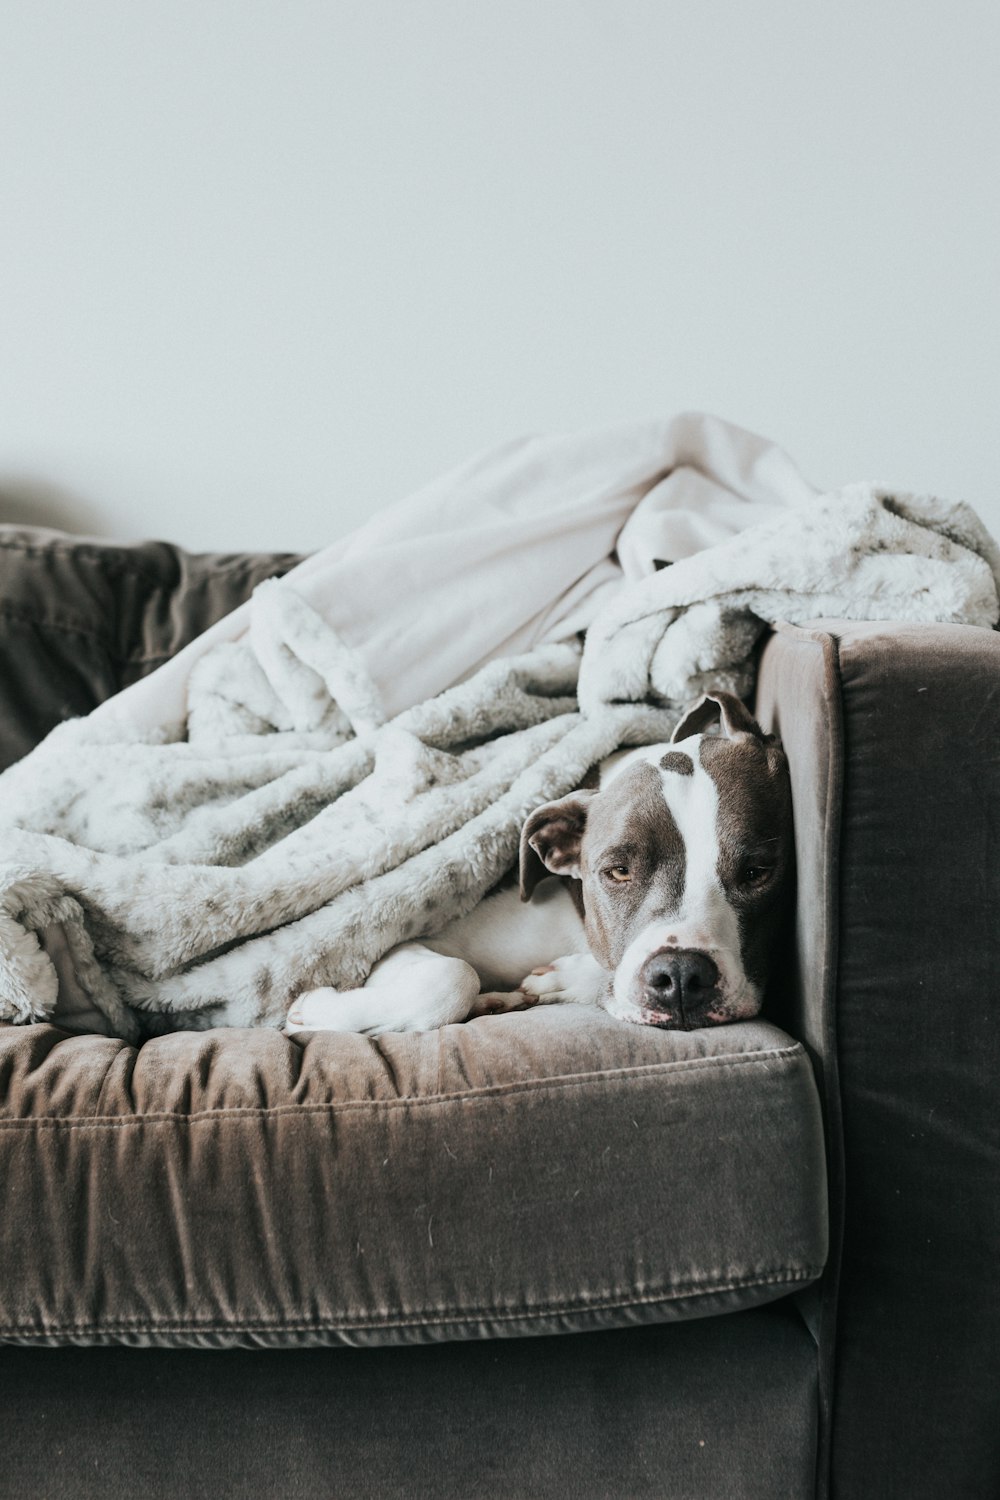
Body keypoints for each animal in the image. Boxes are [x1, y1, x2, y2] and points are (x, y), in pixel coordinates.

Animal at [284, 693, 791, 1038]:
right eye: (618, 871)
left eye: (757, 871)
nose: (682, 977)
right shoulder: (411, 939)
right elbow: (453, 976)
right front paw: (316, 1009)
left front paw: (559, 981)